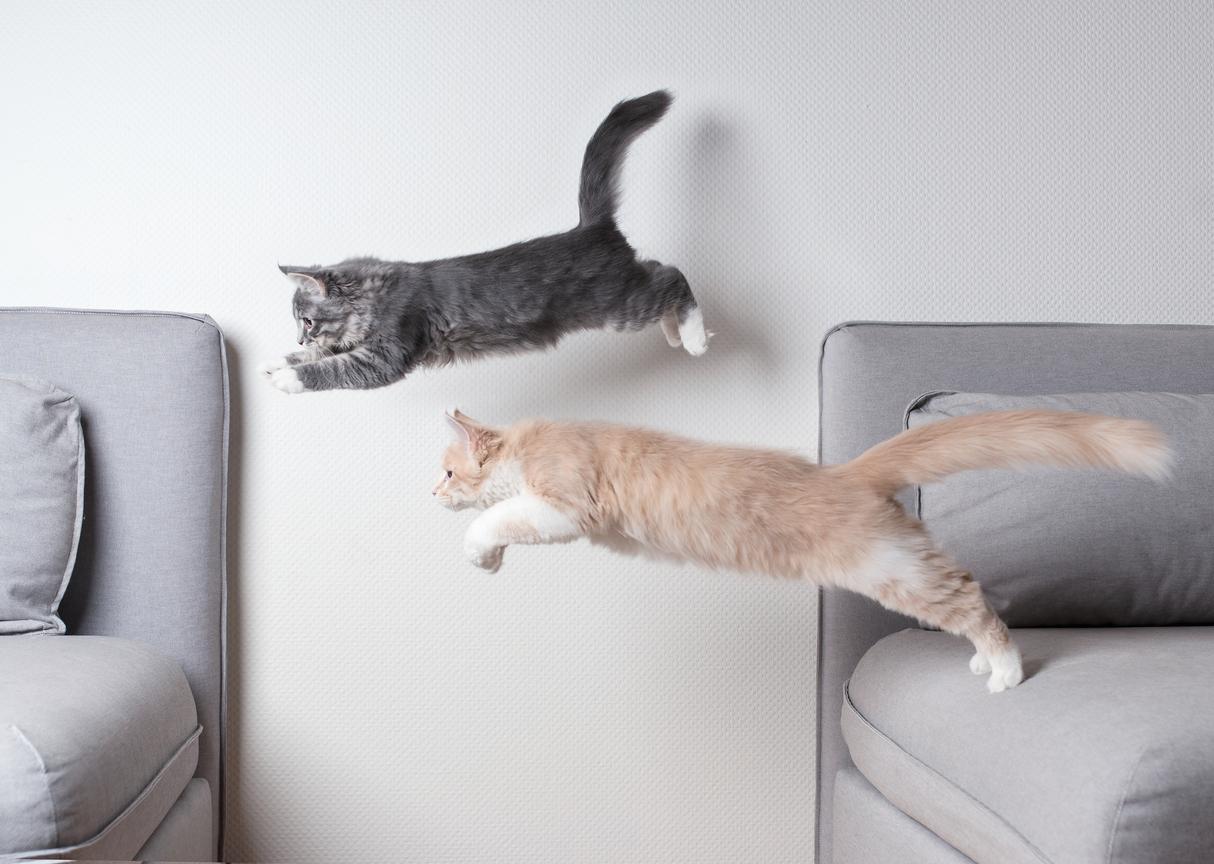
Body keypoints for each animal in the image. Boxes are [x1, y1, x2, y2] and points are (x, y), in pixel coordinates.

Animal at [261, 88, 708, 395]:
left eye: (307, 321)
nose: (299, 337)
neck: (376, 297)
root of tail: (591, 227)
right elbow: (327, 354)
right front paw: (280, 360)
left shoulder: (387, 352)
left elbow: (331, 367)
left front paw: (290, 375)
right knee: (659, 273)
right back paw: (674, 333)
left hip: (620, 303)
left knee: (672, 276)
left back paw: (694, 338)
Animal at [434, 407, 1165, 694]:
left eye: (444, 471)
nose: (429, 492)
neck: (533, 441)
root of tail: (848, 472)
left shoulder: (563, 502)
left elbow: (497, 518)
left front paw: (479, 553)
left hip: (891, 569)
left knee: (970, 596)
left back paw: (1006, 669)